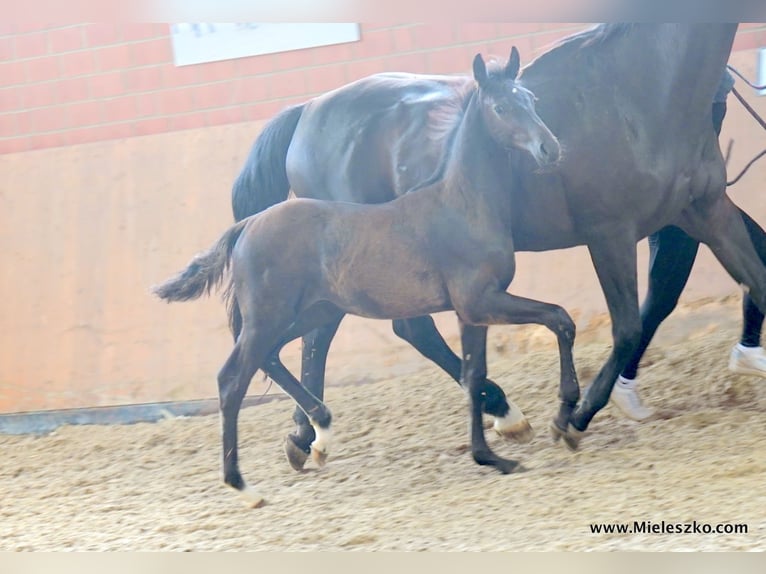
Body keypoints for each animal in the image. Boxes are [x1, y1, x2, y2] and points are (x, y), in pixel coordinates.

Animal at [156, 51, 576, 506]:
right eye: (501, 107)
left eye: (530, 99)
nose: (550, 148)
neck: (460, 203)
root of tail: (247, 225)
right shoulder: (482, 300)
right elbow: (558, 319)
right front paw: (560, 422)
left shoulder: (473, 311)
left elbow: (473, 375)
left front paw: (494, 454)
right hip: (270, 316)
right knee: (232, 380)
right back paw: (245, 485)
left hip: (310, 312)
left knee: (275, 355)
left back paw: (318, 429)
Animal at [231, 24, 766, 462]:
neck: (640, 87)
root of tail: (305, 112)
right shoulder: (610, 232)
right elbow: (629, 326)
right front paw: (574, 418)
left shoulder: (705, 210)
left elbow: (755, 278)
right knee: (378, 331)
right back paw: (497, 412)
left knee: (326, 336)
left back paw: (310, 435)